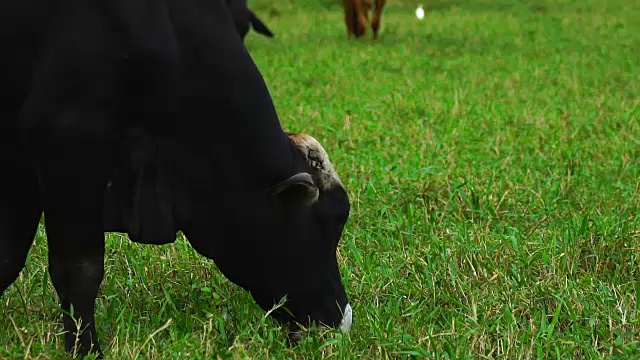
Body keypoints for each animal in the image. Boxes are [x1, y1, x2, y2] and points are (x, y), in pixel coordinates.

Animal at [0, 0, 350, 358]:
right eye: (333, 221)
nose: (340, 321)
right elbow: (79, 270)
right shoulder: (67, 146)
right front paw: (86, 349)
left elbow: (7, 257)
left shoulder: (18, 161)